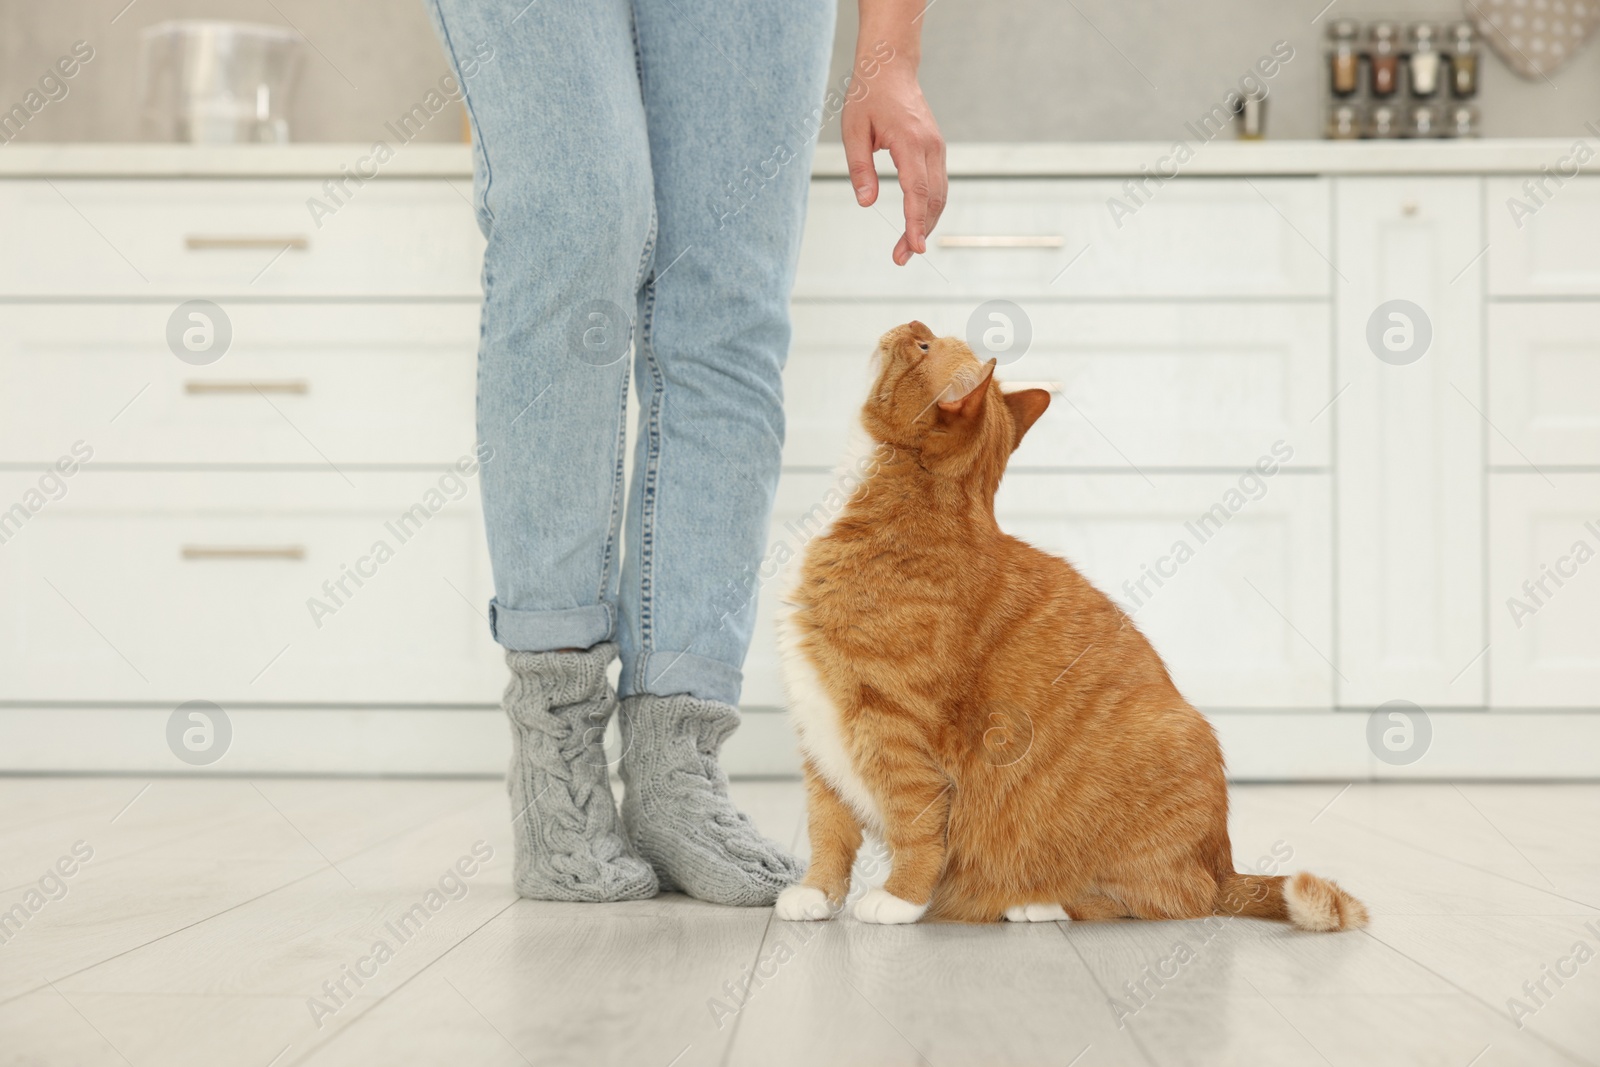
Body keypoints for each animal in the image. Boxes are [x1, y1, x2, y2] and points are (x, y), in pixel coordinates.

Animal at [771, 321, 1363, 927]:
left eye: (924, 347)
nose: (911, 325)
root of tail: (1223, 865)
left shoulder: (895, 731)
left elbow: (916, 827)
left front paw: (901, 899)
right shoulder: (822, 739)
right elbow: (828, 832)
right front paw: (817, 893)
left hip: (1166, 776)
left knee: (1163, 900)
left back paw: (1036, 903)